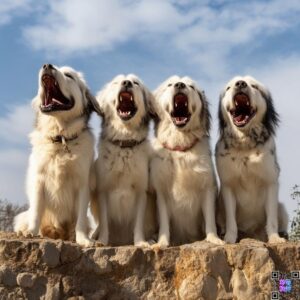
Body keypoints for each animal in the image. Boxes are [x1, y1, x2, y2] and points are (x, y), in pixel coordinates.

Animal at [13, 63, 97, 246]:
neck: (61, 138)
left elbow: (80, 219)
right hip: (23, 216)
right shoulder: (38, 181)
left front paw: (83, 239)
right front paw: (31, 232)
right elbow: (36, 211)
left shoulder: (83, 184)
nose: (47, 65)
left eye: (69, 75)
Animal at [91, 74, 157, 246]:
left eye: (136, 83)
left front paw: (140, 242)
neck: (125, 144)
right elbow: (104, 222)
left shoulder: (141, 191)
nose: (126, 83)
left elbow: (138, 223)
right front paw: (102, 241)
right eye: (116, 82)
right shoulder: (103, 190)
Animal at [149, 75, 224, 246]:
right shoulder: (161, 192)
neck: (181, 147)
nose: (179, 85)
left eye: (191, 87)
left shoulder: (207, 187)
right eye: (170, 84)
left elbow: (209, 219)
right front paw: (162, 242)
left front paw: (214, 239)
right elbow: (164, 222)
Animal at [216, 75, 288, 244]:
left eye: (254, 86)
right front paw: (229, 239)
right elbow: (231, 220)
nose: (240, 84)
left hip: (282, 207)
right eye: (229, 87)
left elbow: (272, 219)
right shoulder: (228, 186)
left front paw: (275, 238)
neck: (245, 146)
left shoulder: (271, 182)